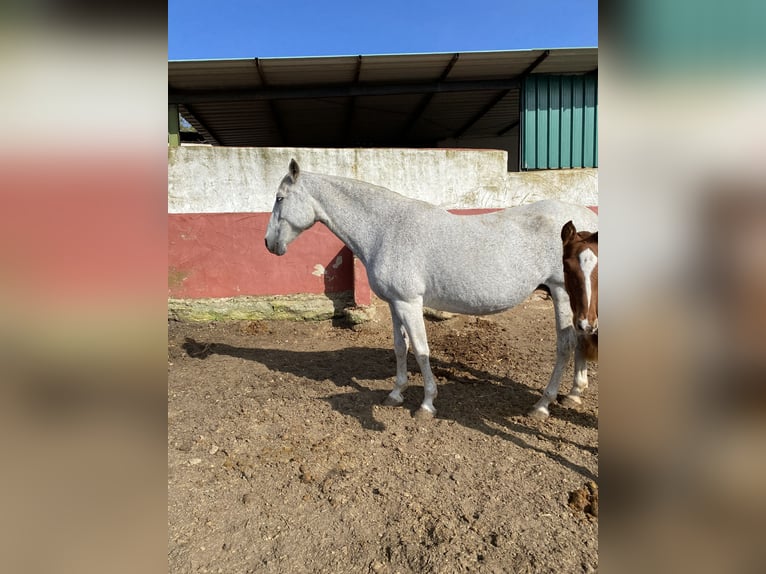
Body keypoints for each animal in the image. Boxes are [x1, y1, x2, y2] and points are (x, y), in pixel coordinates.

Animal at [268, 160, 604, 420]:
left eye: (280, 198)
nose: (269, 243)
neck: (386, 228)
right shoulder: (395, 303)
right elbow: (400, 347)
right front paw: (395, 394)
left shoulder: (409, 303)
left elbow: (421, 350)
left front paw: (427, 404)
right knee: (580, 339)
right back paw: (574, 392)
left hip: (563, 293)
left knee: (566, 345)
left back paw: (543, 404)